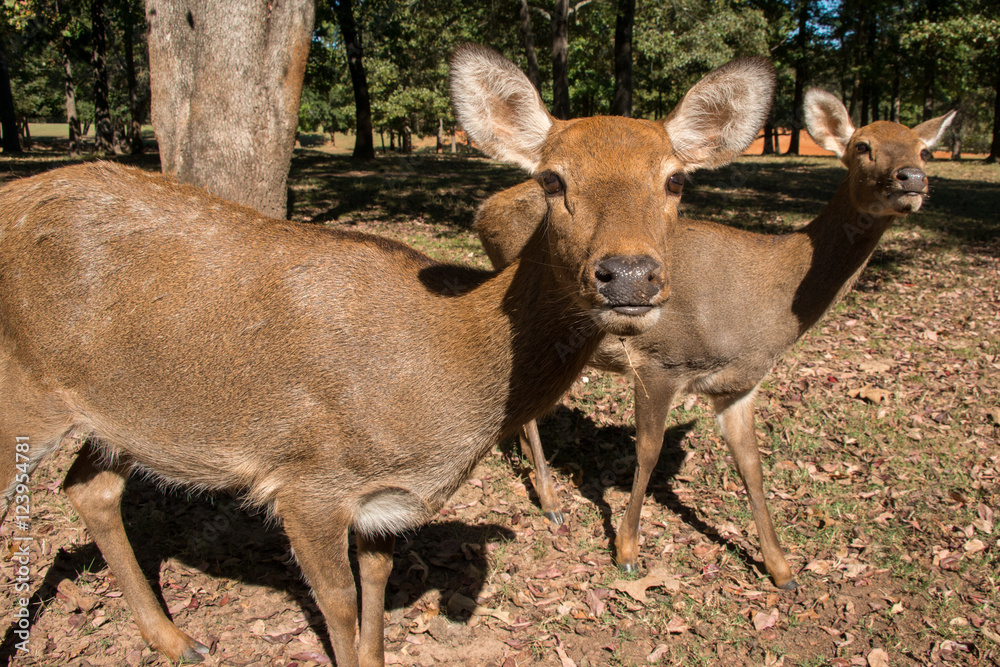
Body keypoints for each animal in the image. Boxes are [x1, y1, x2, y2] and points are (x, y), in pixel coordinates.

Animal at [0, 47, 772, 667]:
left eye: (675, 180)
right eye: (552, 179)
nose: (630, 275)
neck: (444, 374)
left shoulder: (384, 502)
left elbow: (375, 586)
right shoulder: (307, 479)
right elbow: (339, 603)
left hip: (119, 417)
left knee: (90, 489)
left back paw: (177, 640)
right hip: (21, 401)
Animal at [478, 87, 960, 588]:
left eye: (925, 150)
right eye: (863, 145)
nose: (912, 179)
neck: (764, 306)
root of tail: (483, 211)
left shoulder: (739, 387)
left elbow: (752, 465)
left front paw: (781, 569)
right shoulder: (661, 360)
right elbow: (648, 452)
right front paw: (627, 551)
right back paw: (551, 502)